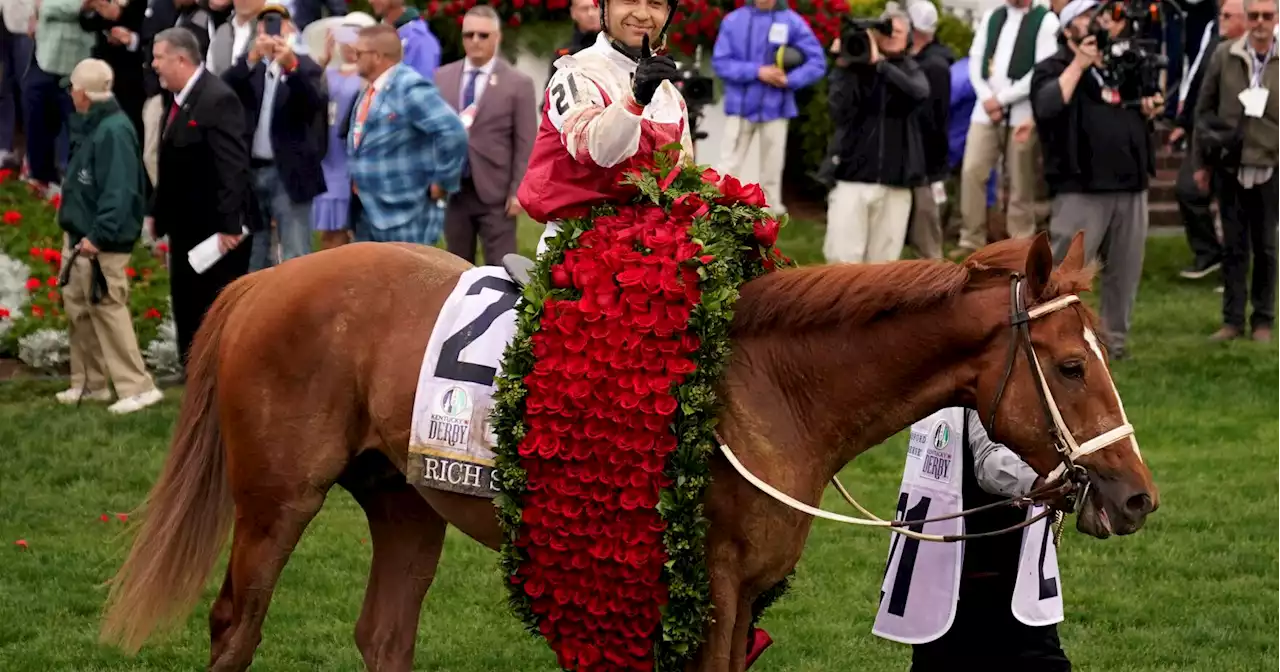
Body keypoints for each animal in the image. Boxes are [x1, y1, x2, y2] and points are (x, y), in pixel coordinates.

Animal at [102, 231, 1162, 670]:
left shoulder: (749, 596)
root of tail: (268, 278)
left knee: (383, 637)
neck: (767, 387)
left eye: (1106, 356)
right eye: (1072, 365)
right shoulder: (714, 589)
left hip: (404, 502)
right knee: (234, 626)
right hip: (276, 502)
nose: (1136, 496)